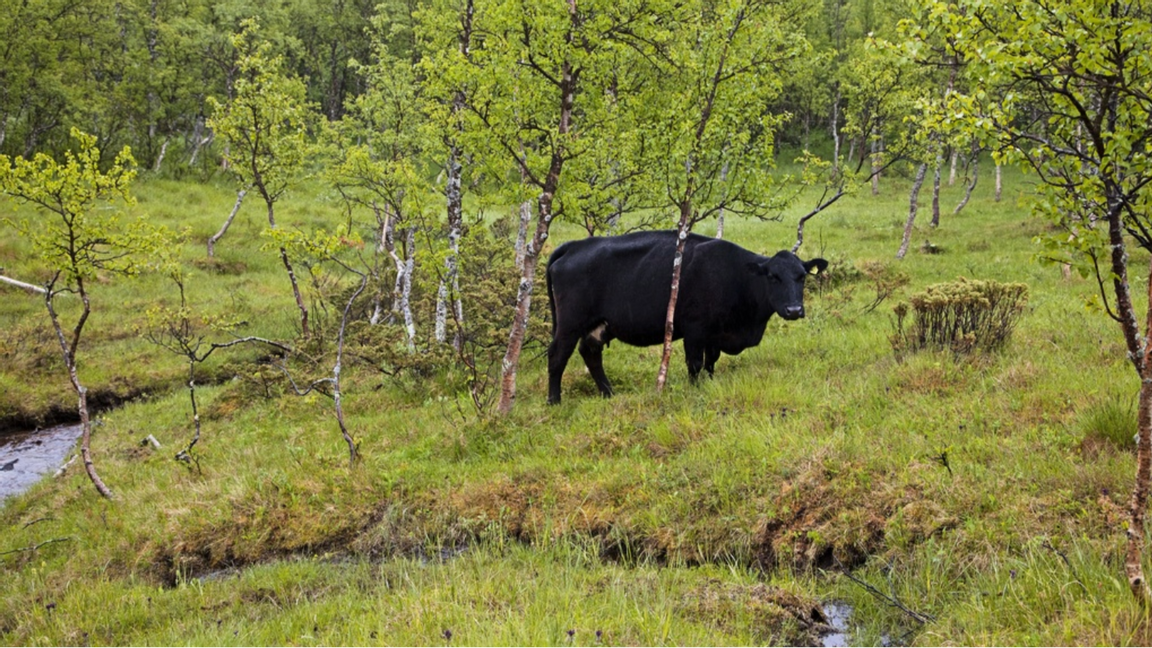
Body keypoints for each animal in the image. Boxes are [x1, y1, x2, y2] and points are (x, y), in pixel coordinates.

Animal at [543, 231, 824, 401]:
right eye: (773, 277)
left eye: (802, 276)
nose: (794, 310)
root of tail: (575, 245)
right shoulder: (695, 329)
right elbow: (695, 363)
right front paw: (696, 390)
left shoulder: (714, 334)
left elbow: (711, 361)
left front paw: (709, 384)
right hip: (569, 323)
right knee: (557, 356)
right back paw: (554, 401)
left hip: (597, 325)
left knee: (590, 354)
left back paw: (609, 393)